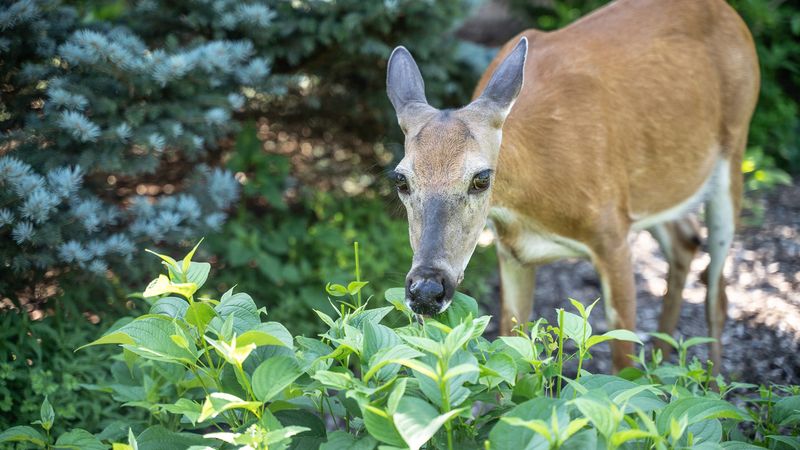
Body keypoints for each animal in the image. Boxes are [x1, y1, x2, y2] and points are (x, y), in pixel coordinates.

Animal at [386, 0, 759, 372]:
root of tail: (732, 15)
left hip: (734, 151)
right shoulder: (512, 252)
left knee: (718, 296)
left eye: (481, 178)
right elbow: (513, 348)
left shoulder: (613, 235)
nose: (426, 290)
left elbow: (623, 362)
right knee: (686, 241)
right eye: (401, 180)